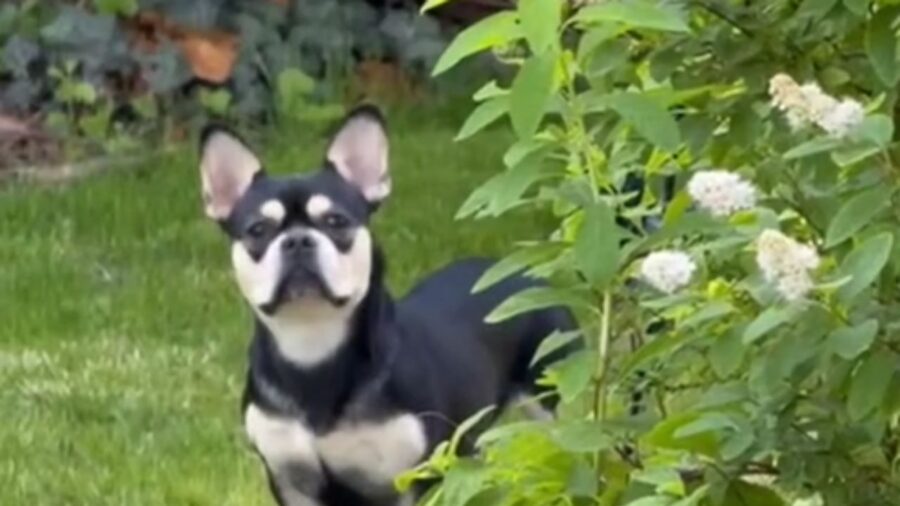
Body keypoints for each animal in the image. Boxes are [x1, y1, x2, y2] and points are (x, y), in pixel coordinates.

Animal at [198, 105, 576, 504]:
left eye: (336, 221)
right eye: (257, 230)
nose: (298, 240)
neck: (312, 345)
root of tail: (527, 272)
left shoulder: (414, 478)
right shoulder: (289, 480)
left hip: (551, 400)